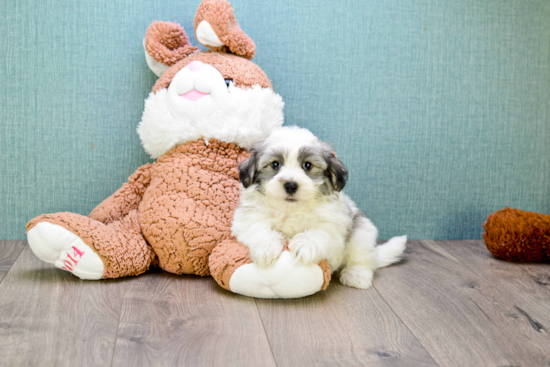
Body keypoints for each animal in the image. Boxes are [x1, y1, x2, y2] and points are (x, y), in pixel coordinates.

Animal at [231, 126, 408, 290]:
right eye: (275, 164)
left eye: (308, 165)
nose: (291, 185)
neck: (291, 208)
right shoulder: (248, 218)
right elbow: (258, 228)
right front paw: (266, 248)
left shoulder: (333, 221)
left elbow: (320, 230)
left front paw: (304, 245)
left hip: (362, 234)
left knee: (362, 258)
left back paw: (357, 275)